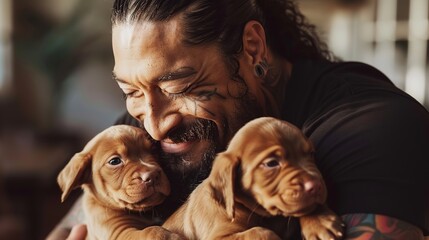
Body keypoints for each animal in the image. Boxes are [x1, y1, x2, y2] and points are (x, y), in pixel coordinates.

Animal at [161, 117, 344, 240]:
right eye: (271, 163)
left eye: (311, 154)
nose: (317, 185)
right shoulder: (218, 237)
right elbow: (261, 232)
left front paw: (319, 221)